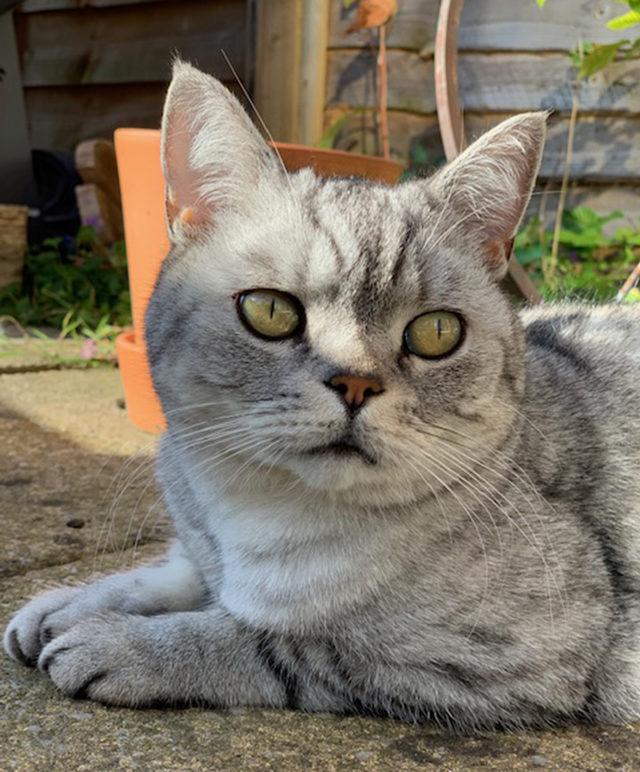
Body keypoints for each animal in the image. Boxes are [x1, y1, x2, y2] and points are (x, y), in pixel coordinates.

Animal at [5, 61, 640, 728]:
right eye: (269, 311)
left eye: (436, 332)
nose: (355, 382)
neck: (259, 511)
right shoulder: (203, 544)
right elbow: (179, 570)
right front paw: (68, 603)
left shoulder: (506, 649)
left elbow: (273, 641)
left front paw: (124, 642)